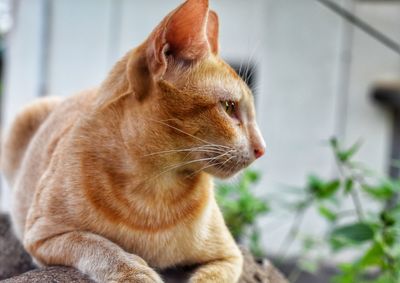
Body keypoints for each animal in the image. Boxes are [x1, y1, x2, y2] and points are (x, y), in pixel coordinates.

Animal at [3, 1, 268, 282]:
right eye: (229, 107)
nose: (262, 149)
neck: (155, 188)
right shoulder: (45, 235)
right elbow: (100, 245)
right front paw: (136, 271)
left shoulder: (229, 256)